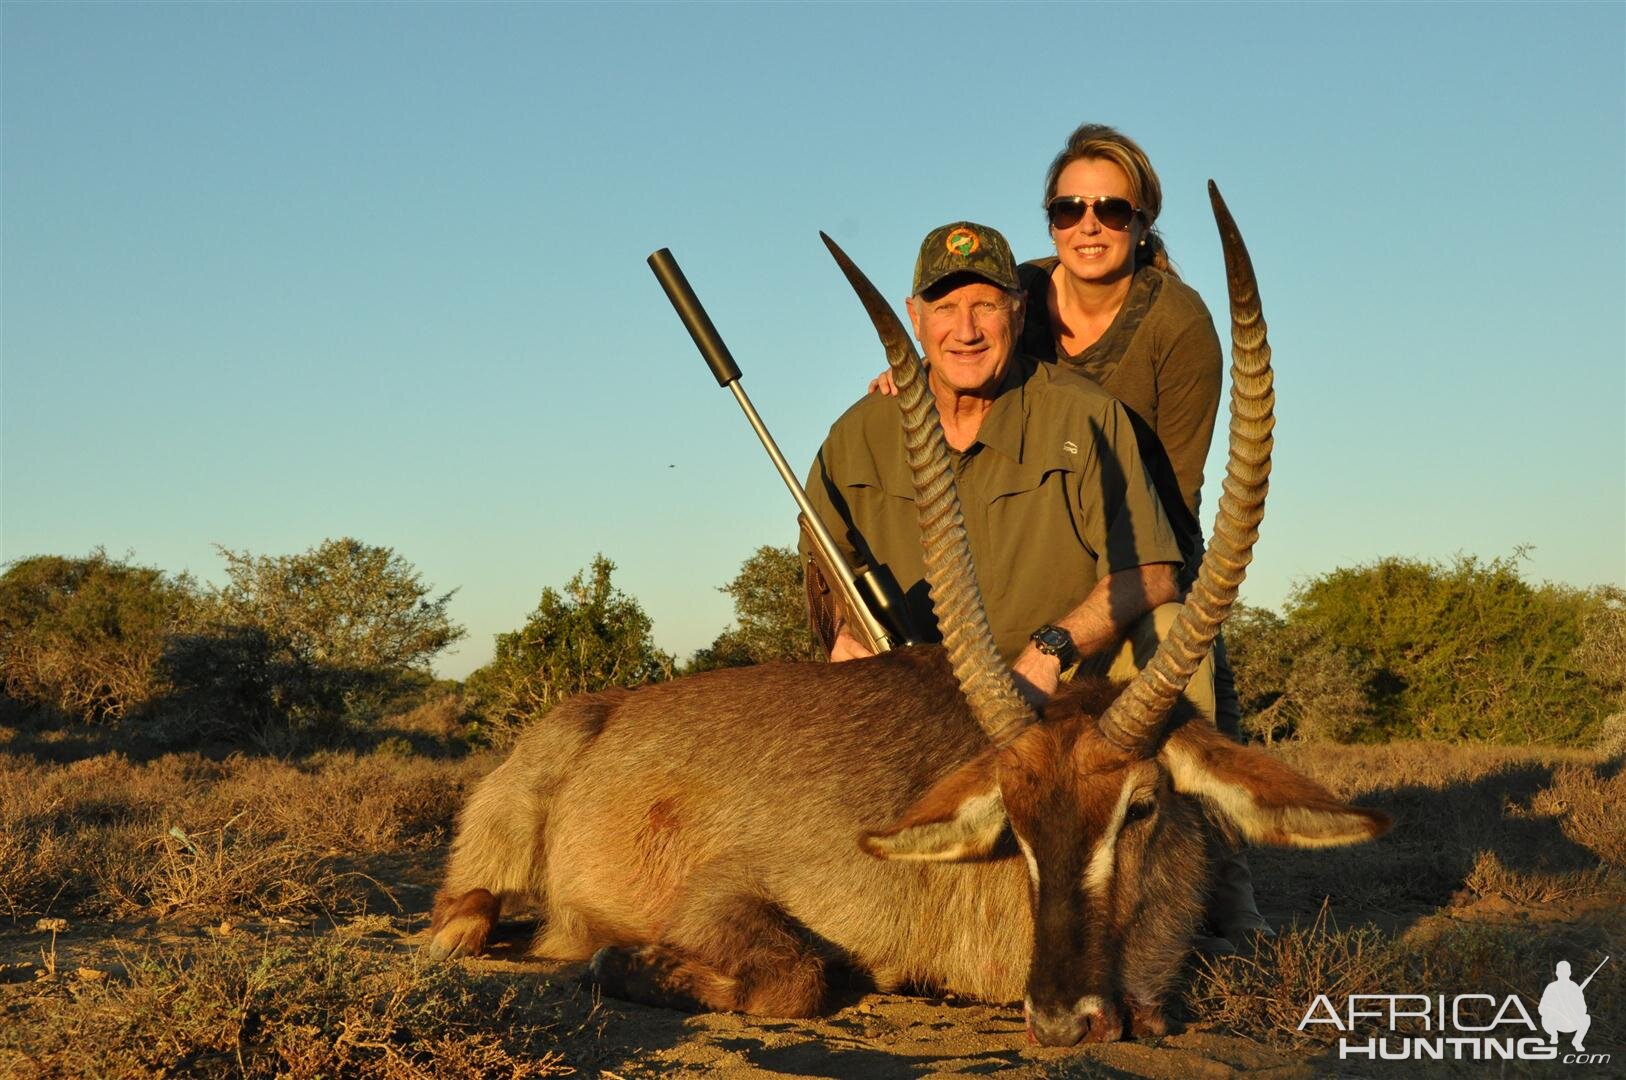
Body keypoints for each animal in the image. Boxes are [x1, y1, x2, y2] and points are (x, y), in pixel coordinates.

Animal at [429, 187, 1385, 1047]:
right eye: (1014, 814)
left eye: (1143, 806)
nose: (1062, 1016)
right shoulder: (728, 892)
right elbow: (797, 978)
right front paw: (611, 959)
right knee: (465, 919)